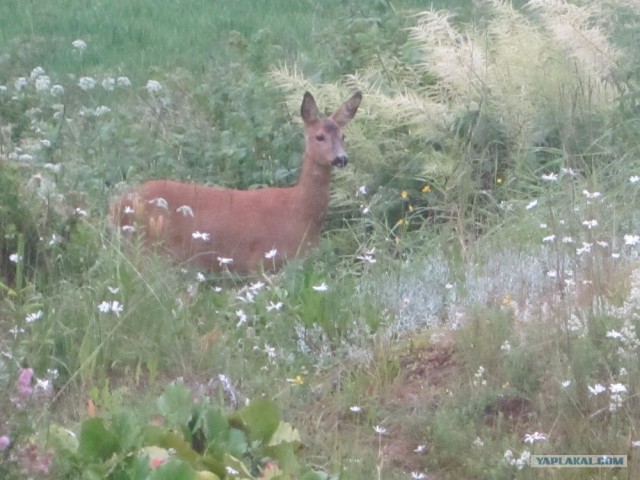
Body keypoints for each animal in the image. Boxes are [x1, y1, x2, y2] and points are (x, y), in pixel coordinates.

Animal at [112, 91, 362, 274]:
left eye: (343, 136)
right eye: (319, 136)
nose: (341, 158)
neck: (302, 212)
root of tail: (116, 205)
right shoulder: (260, 262)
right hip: (147, 249)